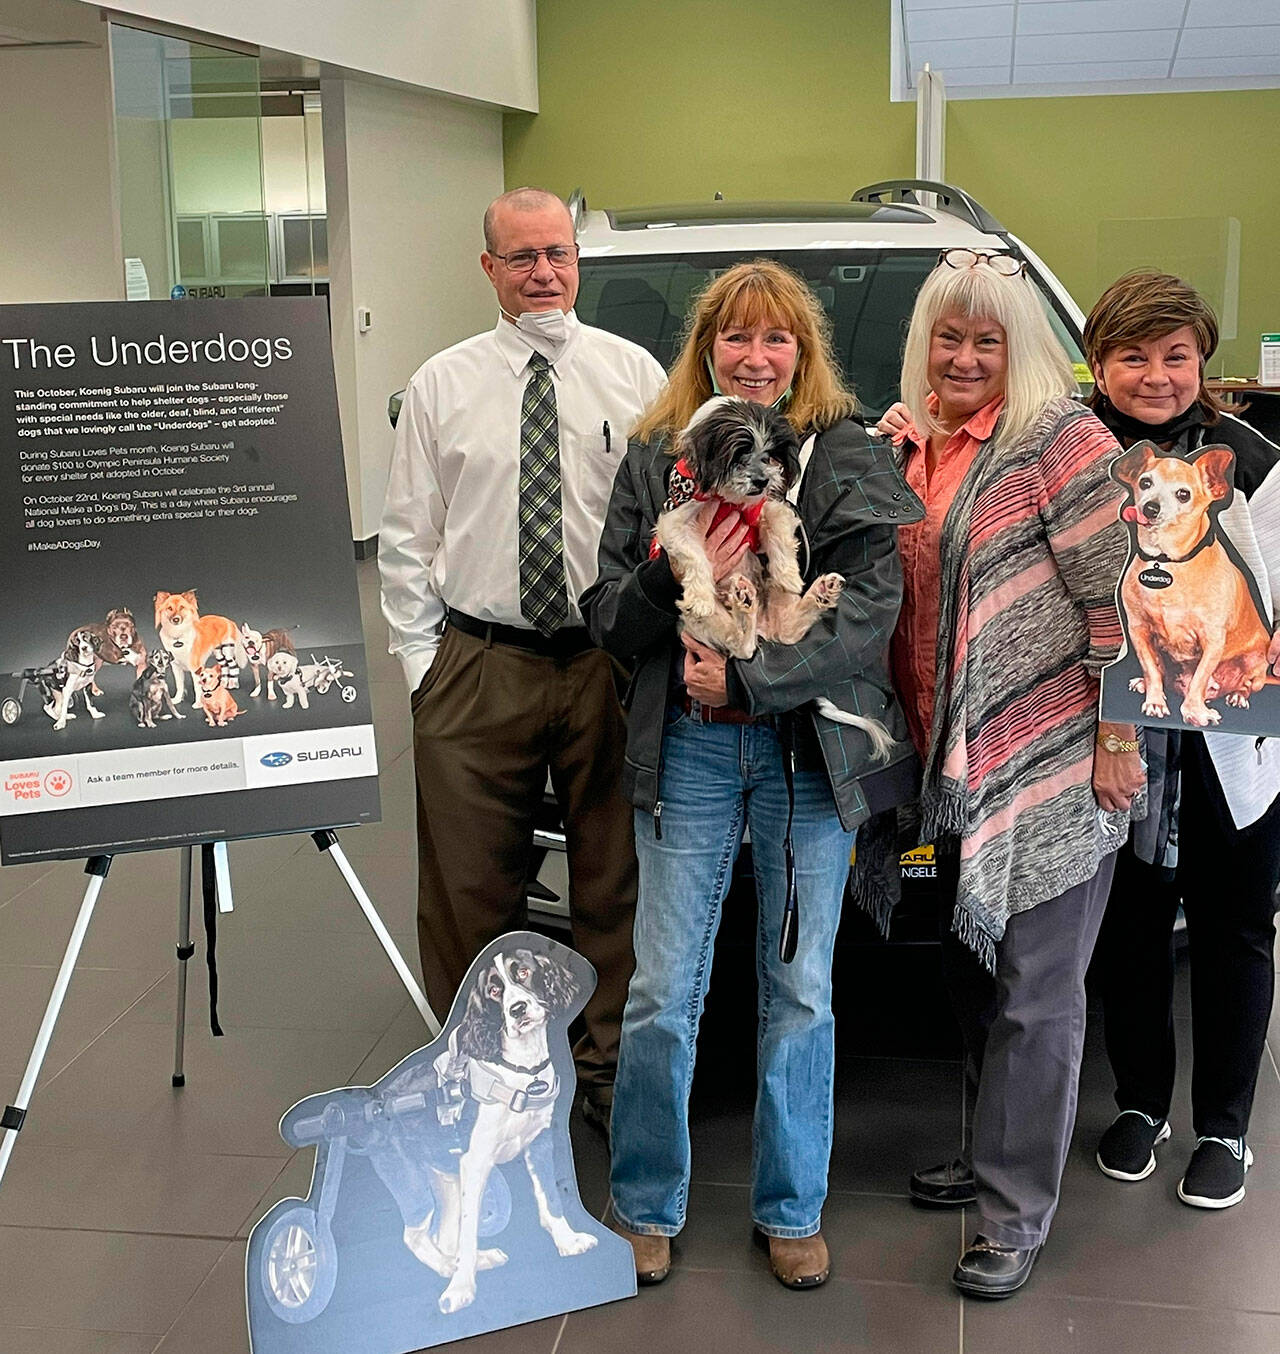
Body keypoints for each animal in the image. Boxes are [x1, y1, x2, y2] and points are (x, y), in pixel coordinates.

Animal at [390, 947, 593, 1316]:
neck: (521, 1073)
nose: (517, 1009)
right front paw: (461, 1289)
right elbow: (471, 1229)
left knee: (443, 1235)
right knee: (415, 1236)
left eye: (523, 972)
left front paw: (568, 1241)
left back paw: (471, 1262)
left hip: (445, 1177)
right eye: (494, 991)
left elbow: (552, 1198)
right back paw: (451, 1270)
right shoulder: (475, 1162)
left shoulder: (539, 1143)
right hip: (409, 1178)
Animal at [658, 395, 888, 758]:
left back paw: (817, 592)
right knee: (742, 647)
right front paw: (700, 595)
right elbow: (696, 558)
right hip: (694, 624)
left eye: (768, 456)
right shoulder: (675, 524)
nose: (762, 481)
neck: (729, 500)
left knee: (786, 633)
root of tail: (764, 628)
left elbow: (779, 534)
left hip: (774, 603)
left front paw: (790, 574)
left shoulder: (767, 508)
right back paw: (743, 604)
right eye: (739, 455)